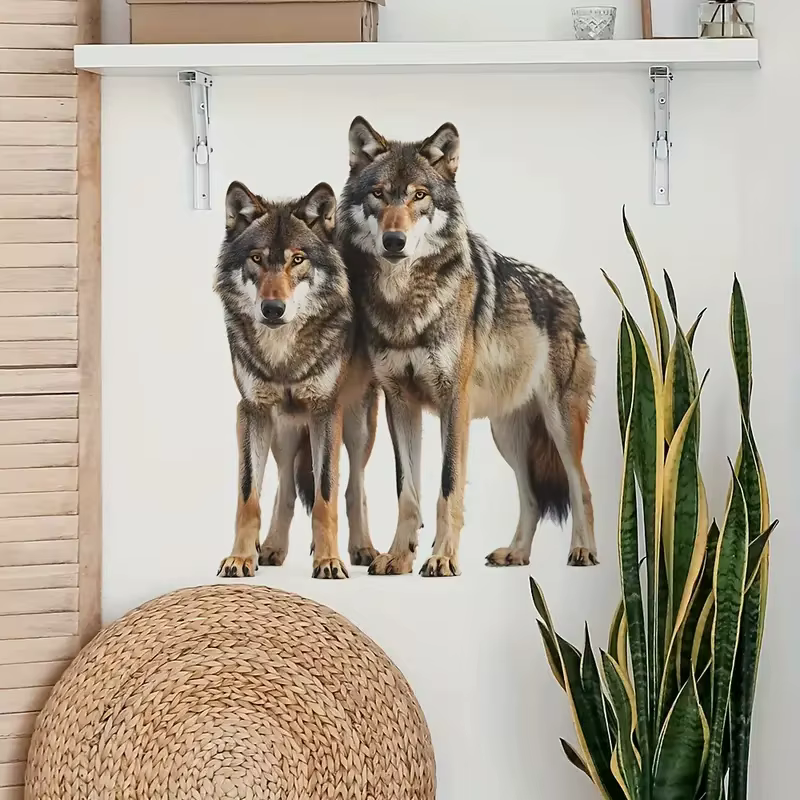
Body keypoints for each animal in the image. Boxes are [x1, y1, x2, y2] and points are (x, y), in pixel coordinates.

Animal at [215, 180, 379, 580]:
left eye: (298, 259)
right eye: (257, 258)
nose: (273, 309)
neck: (283, 356)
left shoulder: (325, 412)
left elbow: (326, 495)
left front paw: (329, 560)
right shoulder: (252, 411)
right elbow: (249, 496)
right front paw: (240, 558)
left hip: (356, 428)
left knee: (354, 488)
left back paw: (362, 549)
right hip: (284, 431)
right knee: (285, 487)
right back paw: (272, 548)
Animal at [338, 116, 598, 577]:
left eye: (419, 195)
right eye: (379, 194)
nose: (394, 241)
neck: (406, 303)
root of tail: (568, 296)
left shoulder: (452, 404)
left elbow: (447, 487)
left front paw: (442, 557)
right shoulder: (398, 403)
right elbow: (408, 491)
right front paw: (398, 557)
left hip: (559, 425)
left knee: (580, 487)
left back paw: (582, 552)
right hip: (506, 435)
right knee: (531, 497)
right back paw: (515, 553)